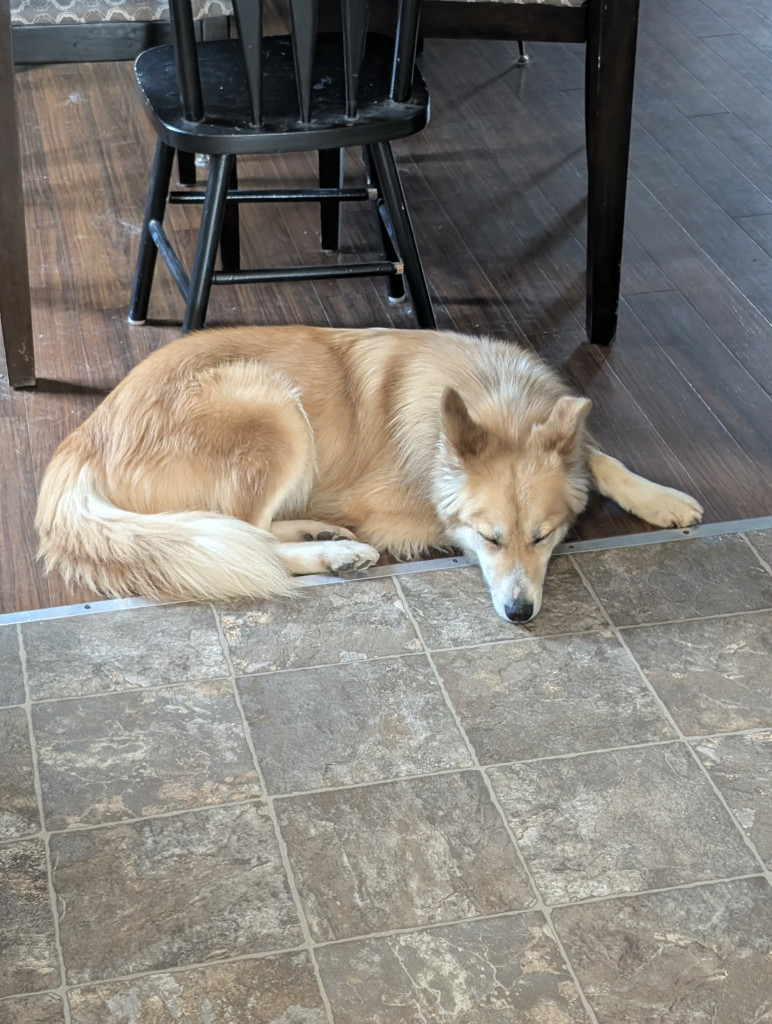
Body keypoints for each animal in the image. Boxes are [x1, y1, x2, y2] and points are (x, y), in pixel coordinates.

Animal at [36, 325, 703, 622]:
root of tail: (84, 437)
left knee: (249, 531)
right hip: (272, 407)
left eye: (543, 537)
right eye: (490, 538)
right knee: (241, 535)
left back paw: (320, 535)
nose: (520, 612)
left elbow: (596, 454)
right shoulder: (397, 508)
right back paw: (335, 552)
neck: (496, 397)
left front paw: (660, 498)